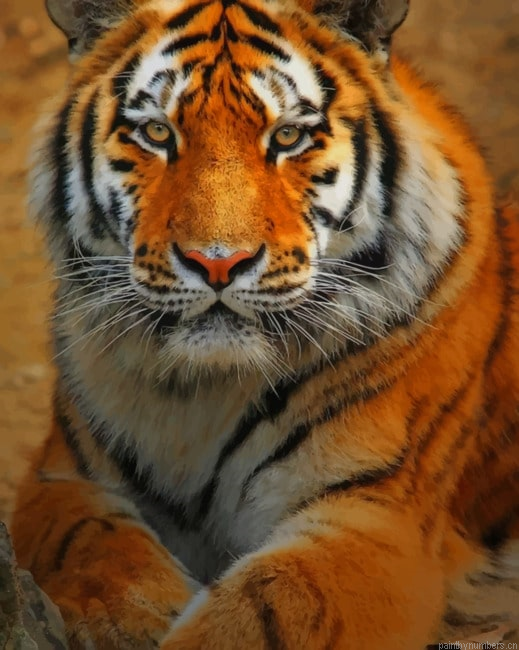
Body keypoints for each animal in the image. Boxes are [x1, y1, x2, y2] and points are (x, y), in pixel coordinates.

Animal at [10, 0, 519, 647]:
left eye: (288, 136)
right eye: (157, 133)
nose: (217, 263)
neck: (204, 393)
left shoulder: (377, 515)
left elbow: (269, 607)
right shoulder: (63, 480)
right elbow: (94, 548)